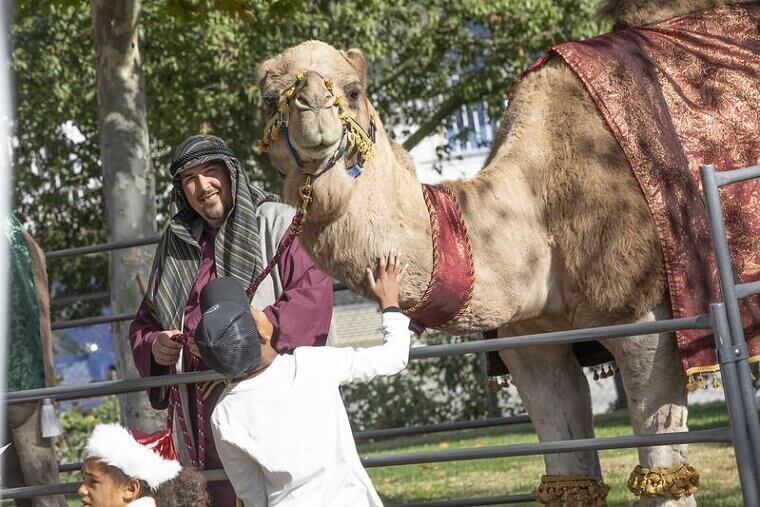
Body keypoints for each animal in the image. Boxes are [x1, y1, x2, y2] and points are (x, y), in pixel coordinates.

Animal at [256, 0, 757, 504]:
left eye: (353, 90)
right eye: (270, 99)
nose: (312, 107)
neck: (540, 209)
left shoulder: (648, 323)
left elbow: (664, 480)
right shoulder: (532, 343)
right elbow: (569, 475)